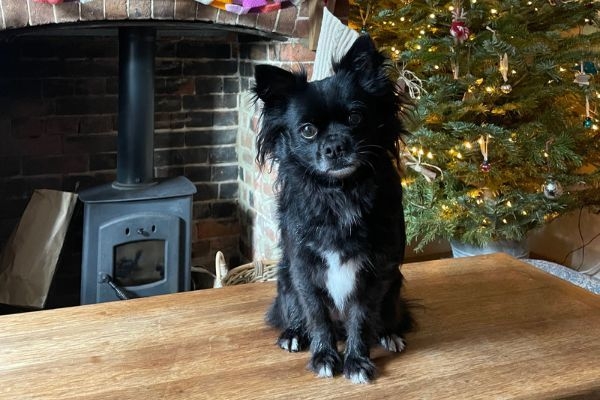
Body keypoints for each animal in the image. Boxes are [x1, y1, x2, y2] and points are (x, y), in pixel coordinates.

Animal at [252, 36, 412, 382]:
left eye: (355, 118)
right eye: (307, 131)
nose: (335, 146)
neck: (339, 193)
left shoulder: (374, 272)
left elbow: (360, 319)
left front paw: (357, 361)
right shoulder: (303, 269)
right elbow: (317, 317)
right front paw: (324, 356)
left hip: (394, 283)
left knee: (386, 317)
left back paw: (389, 334)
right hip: (285, 279)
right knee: (294, 313)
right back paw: (293, 334)